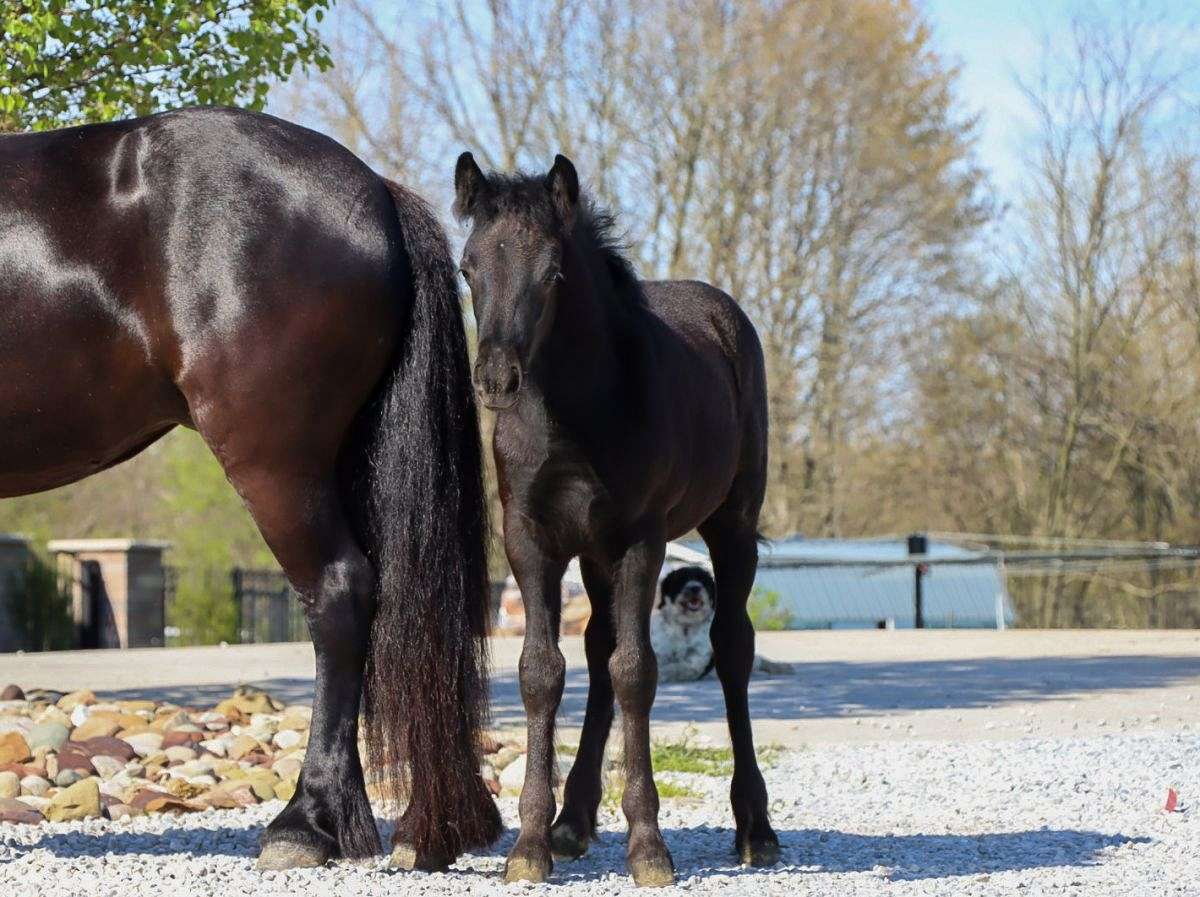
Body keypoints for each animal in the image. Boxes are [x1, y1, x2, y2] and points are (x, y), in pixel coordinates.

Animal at [453, 150, 782, 887]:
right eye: (467, 267)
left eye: (552, 273)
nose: (496, 380)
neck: (575, 412)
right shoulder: (533, 539)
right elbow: (544, 671)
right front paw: (530, 844)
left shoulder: (640, 542)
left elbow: (637, 671)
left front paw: (649, 847)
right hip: (594, 553)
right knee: (598, 652)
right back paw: (573, 819)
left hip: (731, 526)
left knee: (731, 649)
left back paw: (756, 826)